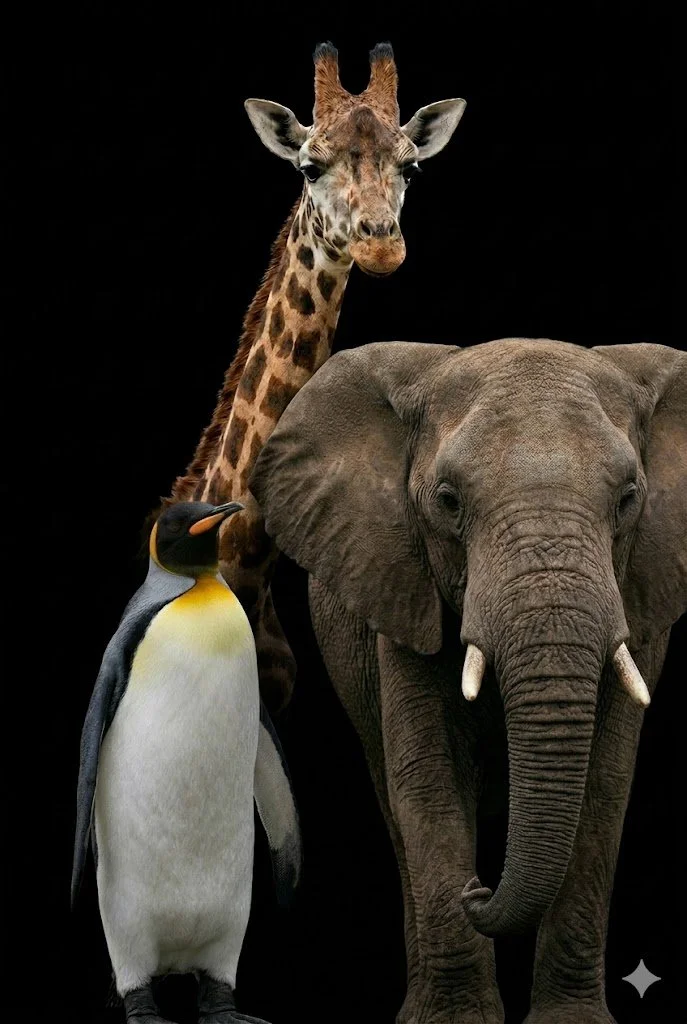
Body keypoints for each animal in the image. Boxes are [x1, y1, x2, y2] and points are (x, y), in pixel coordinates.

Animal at [249, 338, 686, 1024]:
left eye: (629, 498)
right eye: (448, 501)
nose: (478, 890)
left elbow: (606, 784)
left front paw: (570, 1022)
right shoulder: (400, 588)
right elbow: (429, 780)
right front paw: (453, 1018)